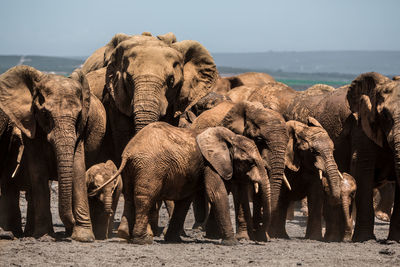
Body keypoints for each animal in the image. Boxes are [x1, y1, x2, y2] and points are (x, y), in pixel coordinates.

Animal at [0, 65, 106, 243]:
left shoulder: (81, 130)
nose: (71, 224)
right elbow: (38, 171)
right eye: (45, 114)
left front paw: (84, 237)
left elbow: (78, 167)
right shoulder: (30, 123)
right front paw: (44, 237)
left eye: (79, 115)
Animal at [91, 122, 272, 246]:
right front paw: (231, 243)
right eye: (249, 162)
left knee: (129, 197)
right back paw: (143, 240)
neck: (230, 138)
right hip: (149, 167)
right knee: (145, 198)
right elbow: (216, 194)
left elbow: (185, 201)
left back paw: (124, 236)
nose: (261, 241)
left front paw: (173, 240)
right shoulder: (210, 165)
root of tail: (128, 152)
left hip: (132, 169)